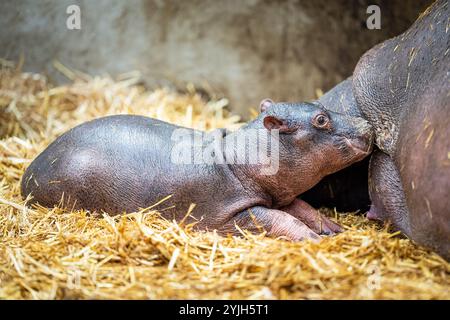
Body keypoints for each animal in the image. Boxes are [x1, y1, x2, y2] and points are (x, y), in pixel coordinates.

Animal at [21, 100, 372, 240]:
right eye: (321, 120)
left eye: (322, 108)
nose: (367, 124)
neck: (243, 156)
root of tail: (29, 169)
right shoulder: (228, 213)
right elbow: (276, 219)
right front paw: (313, 239)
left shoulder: (278, 194)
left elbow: (301, 207)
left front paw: (333, 228)